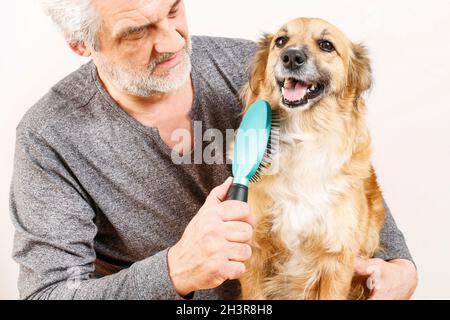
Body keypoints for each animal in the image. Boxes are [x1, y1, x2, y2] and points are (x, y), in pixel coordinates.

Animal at [241, 18, 384, 300]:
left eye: (326, 45)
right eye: (281, 41)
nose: (291, 57)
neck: (303, 135)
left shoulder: (336, 260)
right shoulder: (253, 251)